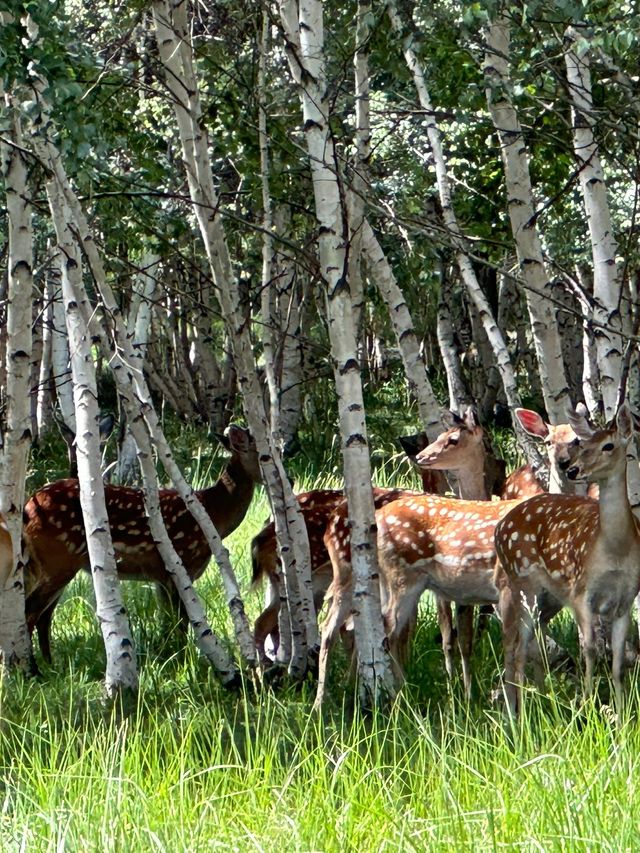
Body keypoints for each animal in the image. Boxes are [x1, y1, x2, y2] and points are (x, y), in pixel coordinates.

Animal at [23, 424, 262, 660]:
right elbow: (181, 622)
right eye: (263, 454)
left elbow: (169, 621)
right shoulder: (181, 565)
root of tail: (27, 509)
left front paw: (169, 654)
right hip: (58, 559)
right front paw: (183, 659)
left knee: (42, 614)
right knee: (31, 611)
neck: (212, 513)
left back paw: (47, 664)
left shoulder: (161, 577)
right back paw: (30, 668)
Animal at [496, 402, 640, 716]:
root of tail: (499, 529)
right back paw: (519, 714)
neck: (615, 550)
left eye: (608, 445)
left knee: (528, 643)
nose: (573, 469)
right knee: (517, 648)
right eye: (584, 445)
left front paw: (621, 715)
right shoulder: (580, 592)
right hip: (522, 584)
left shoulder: (625, 600)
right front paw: (587, 707)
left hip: (546, 598)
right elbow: (589, 650)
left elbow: (618, 663)